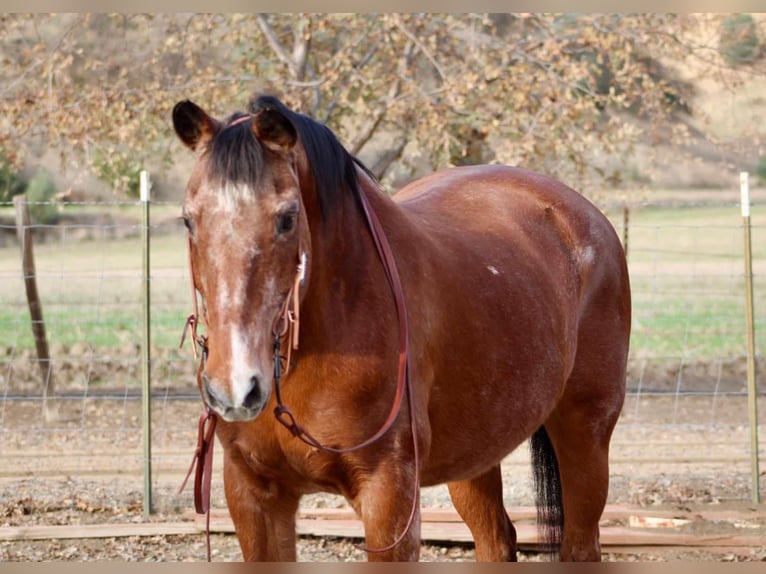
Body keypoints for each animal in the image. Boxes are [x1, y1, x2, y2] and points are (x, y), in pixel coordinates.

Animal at [172, 92, 632, 564]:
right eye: (188, 219)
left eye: (287, 217)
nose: (236, 388)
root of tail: (582, 214)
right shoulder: (255, 495)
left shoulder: (389, 496)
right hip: (475, 455)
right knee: (495, 538)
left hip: (584, 432)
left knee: (580, 543)